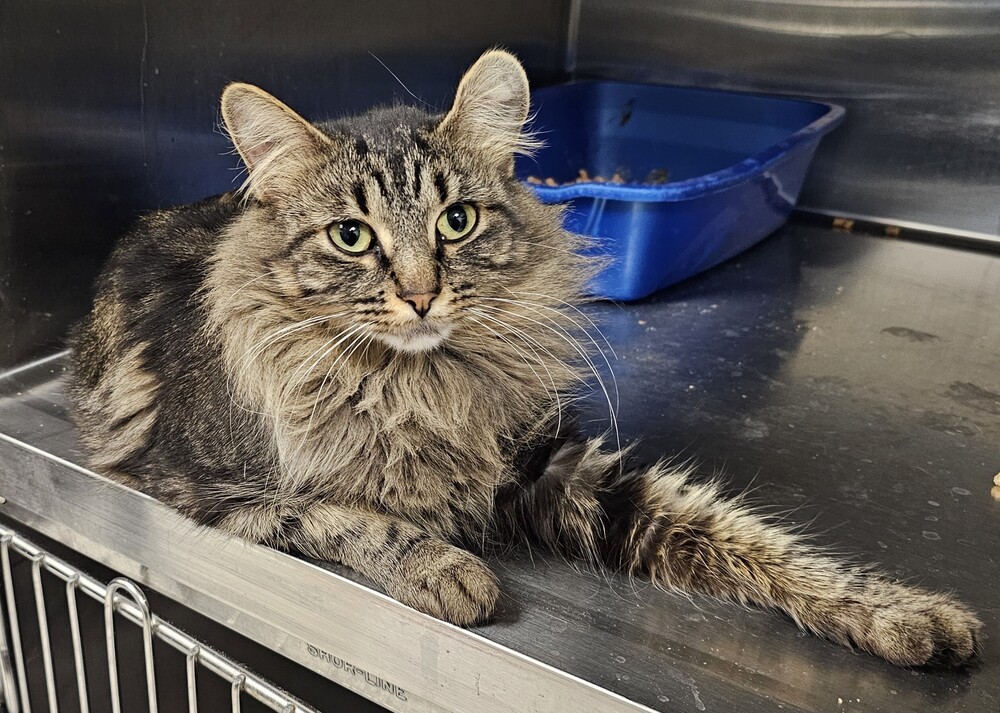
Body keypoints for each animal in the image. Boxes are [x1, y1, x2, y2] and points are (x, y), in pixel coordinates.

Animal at [66, 51, 980, 668]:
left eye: (458, 221)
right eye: (352, 236)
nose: (421, 294)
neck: (417, 384)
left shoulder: (563, 469)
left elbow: (744, 536)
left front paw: (898, 612)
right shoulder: (208, 488)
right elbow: (347, 517)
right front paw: (447, 569)